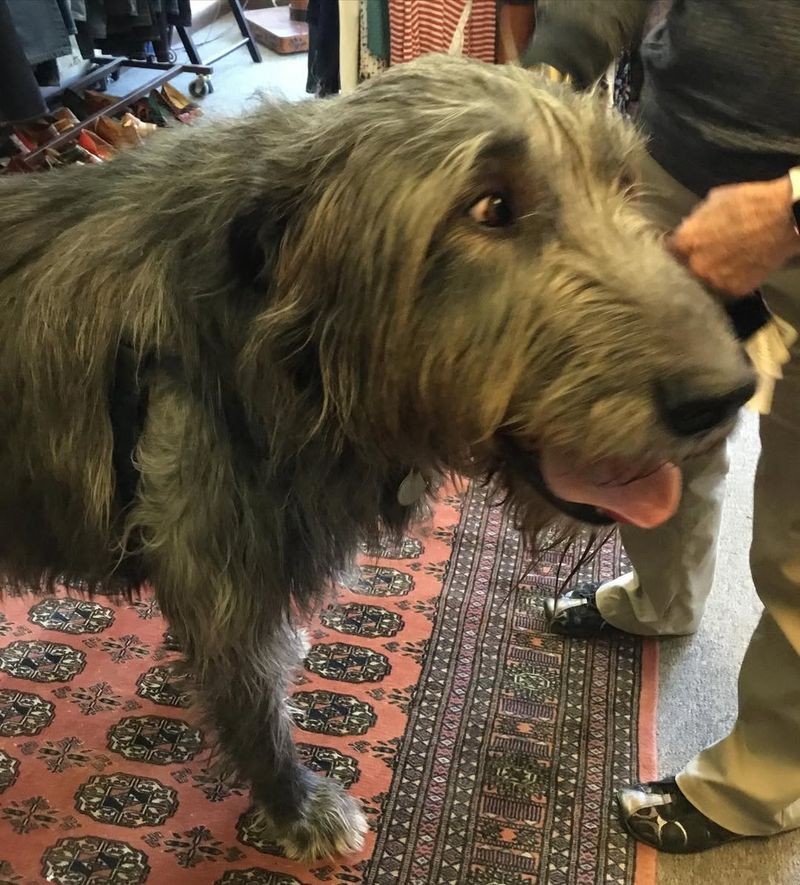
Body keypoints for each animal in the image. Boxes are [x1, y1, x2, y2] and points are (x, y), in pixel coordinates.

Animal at [0, 57, 752, 856]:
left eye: (624, 185)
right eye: (490, 207)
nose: (725, 394)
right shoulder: (219, 566)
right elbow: (251, 698)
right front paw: (295, 806)